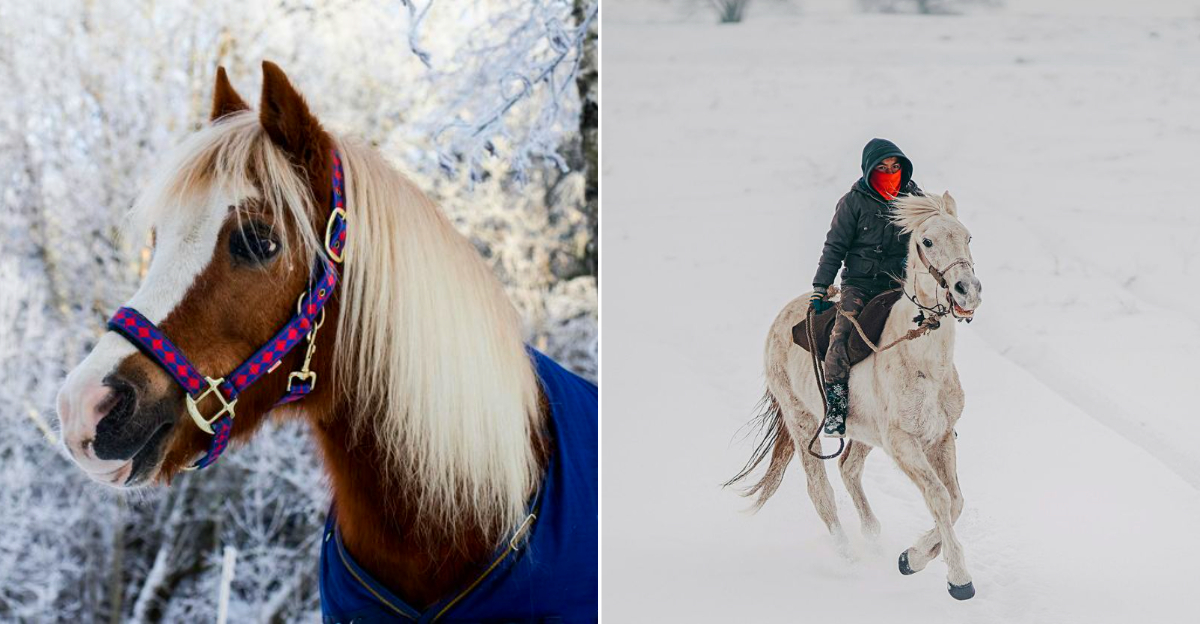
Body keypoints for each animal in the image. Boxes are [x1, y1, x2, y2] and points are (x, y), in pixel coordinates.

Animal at [727, 192, 982, 600]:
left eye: (968, 237)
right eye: (927, 241)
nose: (967, 290)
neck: (921, 359)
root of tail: (784, 316)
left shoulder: (940, 437)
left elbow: (955, 500)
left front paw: (909, 559)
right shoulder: (903, 444)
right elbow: (939, 498)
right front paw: (959, 580)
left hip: (863, 433)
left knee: (848, 468)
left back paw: (874, 538)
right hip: (802, 423)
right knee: (821, 491)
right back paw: (847, 558)